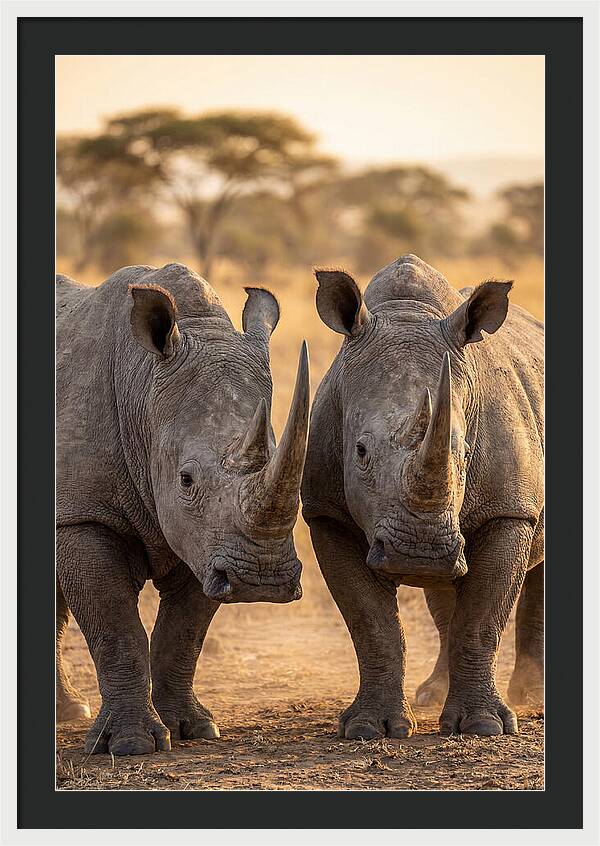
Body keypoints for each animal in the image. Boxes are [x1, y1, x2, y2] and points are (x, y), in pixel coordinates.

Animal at [56, 262, 309, 755]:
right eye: (186, 480)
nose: (262, 580)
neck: (142, 387)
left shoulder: (209, 541)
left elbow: (183, 633)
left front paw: (192, 729)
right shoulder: (82, 514)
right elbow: (115, 627)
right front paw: (130, 745)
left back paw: (68, 711)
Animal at [302, 255, 543, 738]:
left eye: (464, 451)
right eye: (360, 451)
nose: (420, 553)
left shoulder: (510, 511)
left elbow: (482, 619)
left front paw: (485, 727)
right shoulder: (326, 513)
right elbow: (372, 625)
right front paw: (369, 728)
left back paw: (532, 695)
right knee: (445, 593)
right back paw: (433, 694)